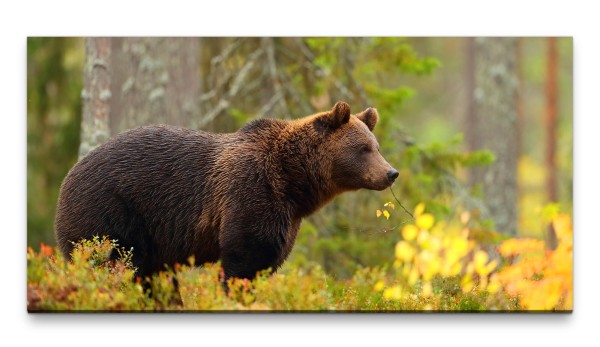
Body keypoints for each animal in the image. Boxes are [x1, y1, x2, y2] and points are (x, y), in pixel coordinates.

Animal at [54, 100, 396, 282]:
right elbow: (243, 259)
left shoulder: (286, 219)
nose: (391, 173)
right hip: (108, 212)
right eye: (363, 148)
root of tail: (67, 176)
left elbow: (268, 261)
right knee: (109, 261)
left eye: (376, 146)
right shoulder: (249, 193)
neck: (293, 182)